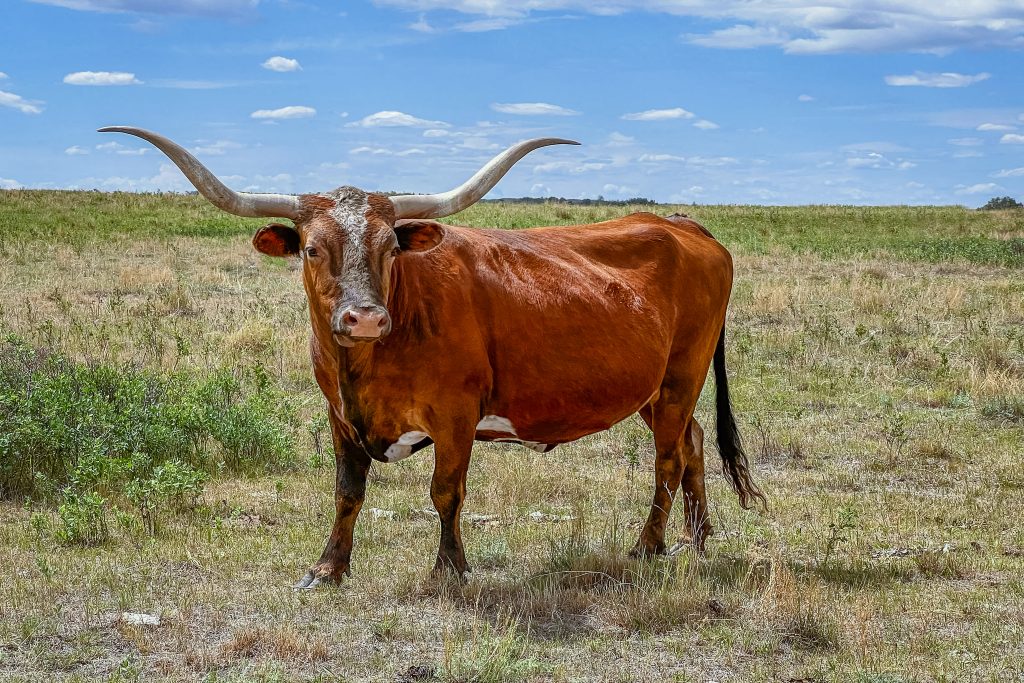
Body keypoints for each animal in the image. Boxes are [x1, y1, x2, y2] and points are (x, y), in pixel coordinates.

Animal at [99, 125, 765, 585]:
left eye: (390, 247)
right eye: (312, 249)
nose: (365, 317)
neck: (369, 363)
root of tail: (685, 225)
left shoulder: (455, 416)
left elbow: (446, 492)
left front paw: (450, 568)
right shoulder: (339, 417)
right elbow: (347, 492)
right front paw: (327, 569)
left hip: (681, 375)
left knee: (668, 459)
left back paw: (649, 545)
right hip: (653, 387)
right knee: (692, 444)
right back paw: (698, 539)